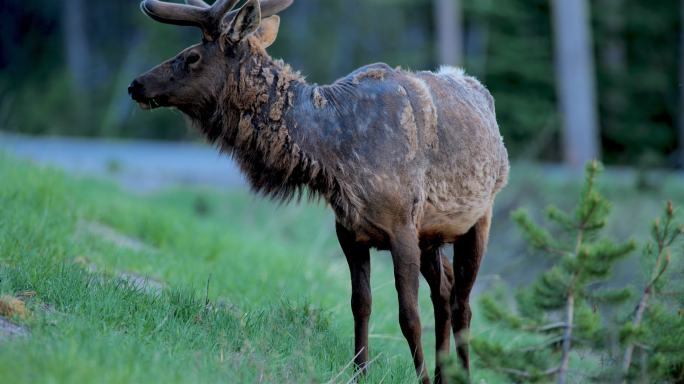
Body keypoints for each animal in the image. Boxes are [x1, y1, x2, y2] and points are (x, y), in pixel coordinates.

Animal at [131, 1, 510, 382]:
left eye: (192, 56)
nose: (136, 84)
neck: (335, 157)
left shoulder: (402, 226)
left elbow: (409, 316)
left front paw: (421, 378)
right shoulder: (350, 231)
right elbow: (361, 304)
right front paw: (359, 371)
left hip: (480, 218)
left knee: (462, 303)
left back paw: (461, 372)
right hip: (432, 235)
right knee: (444, 291)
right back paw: (447, 372)